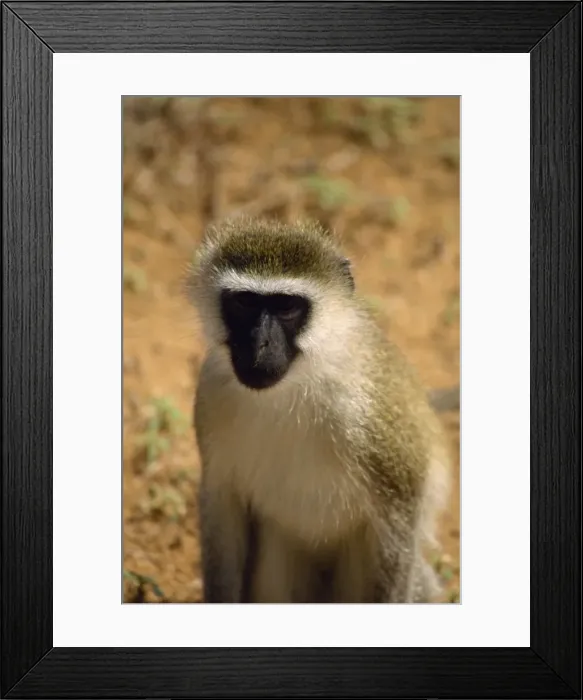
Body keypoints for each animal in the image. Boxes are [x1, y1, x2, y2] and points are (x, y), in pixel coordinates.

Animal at [187, 217, 451, 603]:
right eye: (244, 303)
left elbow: (398, 520)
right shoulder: (211, 391)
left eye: (286, 307)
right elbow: (223, 507)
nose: (259, 344)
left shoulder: (370, 416)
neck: (294, 384)